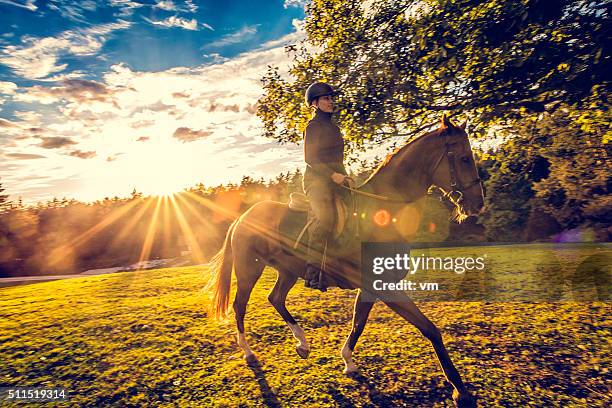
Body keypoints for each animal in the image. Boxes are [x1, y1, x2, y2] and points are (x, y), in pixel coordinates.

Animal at [204, 115, 482, 408]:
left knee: (276, 298)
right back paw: (249, 353)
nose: (478, 204)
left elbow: (358, 322)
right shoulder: (385, 286)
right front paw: (460, 390)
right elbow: (430, 329)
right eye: (464, 158)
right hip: (249, 270)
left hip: (287, 271)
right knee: (239, 307)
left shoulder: (372, 287)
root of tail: (243, 217)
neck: (385, 213)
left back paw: (302, 344)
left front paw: (348, 362)